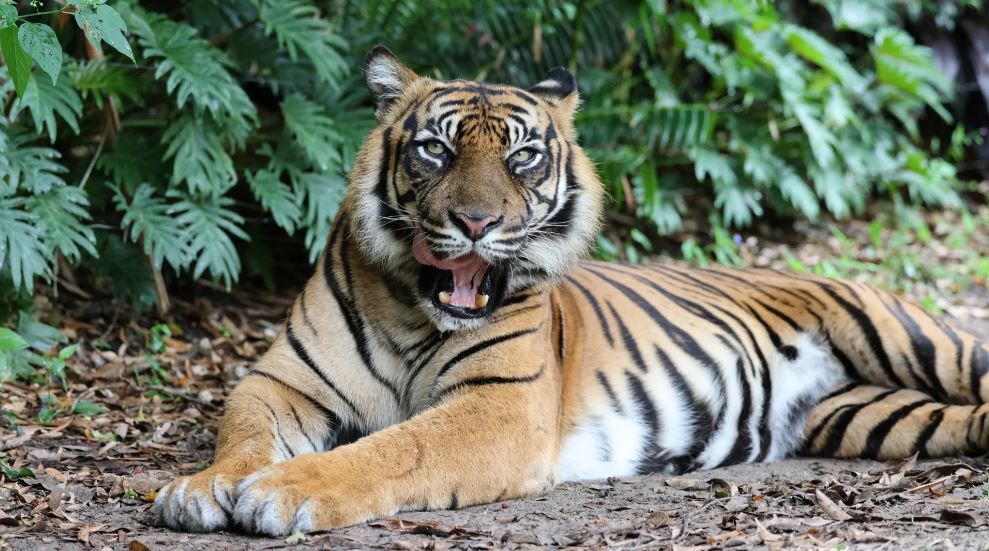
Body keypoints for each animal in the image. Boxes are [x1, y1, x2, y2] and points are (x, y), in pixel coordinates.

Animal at [153, 46, 989, 535]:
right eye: (435, 149)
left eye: (522, 156)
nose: (477, 221)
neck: (411, 310)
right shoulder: (281, 381)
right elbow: (243, 432)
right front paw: (202, 488)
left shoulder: (499, 406)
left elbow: (395, 446)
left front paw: (283, 491)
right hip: (872, 416)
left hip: (918, 341)